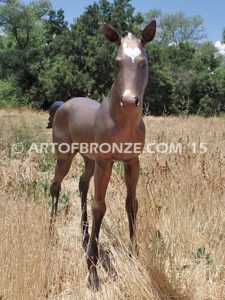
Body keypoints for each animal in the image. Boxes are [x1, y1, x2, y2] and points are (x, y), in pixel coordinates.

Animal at [49, 20, 156, 288]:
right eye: (117, 62)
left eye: (143, 62)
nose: (129, 101)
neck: (122, 124)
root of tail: (62, 104)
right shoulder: (105, 163)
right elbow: (100, 206)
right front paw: (92, 269)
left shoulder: (132, 162)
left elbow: (132, 203)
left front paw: (134, 253)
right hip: (65, 155)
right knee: (55, 185)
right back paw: (52, 229)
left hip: (89, 159)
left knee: (81, 184)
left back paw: (85, 234)